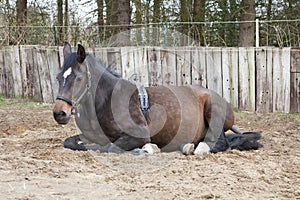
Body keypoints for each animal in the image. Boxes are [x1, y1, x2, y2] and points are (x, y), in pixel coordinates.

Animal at [52, 41, 262, 155]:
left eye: (78, 78)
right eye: (58, 77)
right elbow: (71, 143)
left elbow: (111, 147)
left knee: (221, 143)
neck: (106, 101)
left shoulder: (138, 134)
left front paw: (146, 149)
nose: (59, 113)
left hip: (213, 110)